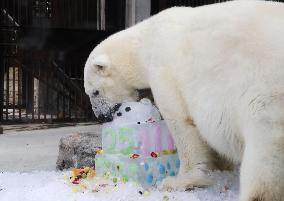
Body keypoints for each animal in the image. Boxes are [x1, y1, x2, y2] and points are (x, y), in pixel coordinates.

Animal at [84, 0, 284, 200]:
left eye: (95, 92)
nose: (101, 117)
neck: (145, 43)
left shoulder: (164, 70)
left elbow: (181, 122)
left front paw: (179, 181)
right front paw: (222, 165)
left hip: (264, 89)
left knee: (265, 151)